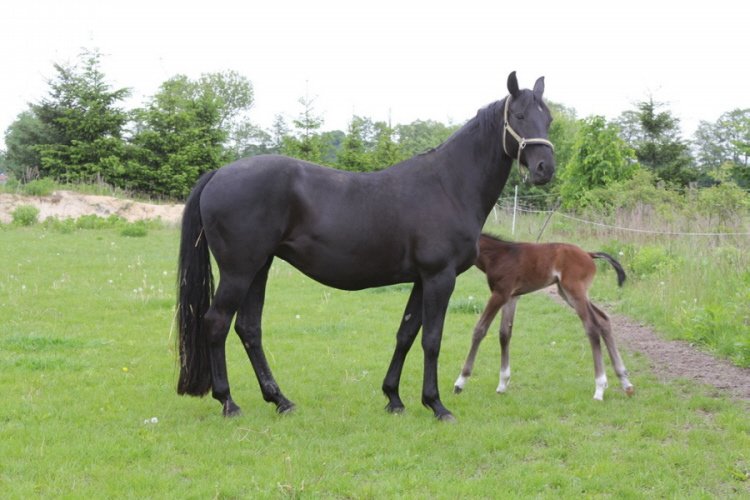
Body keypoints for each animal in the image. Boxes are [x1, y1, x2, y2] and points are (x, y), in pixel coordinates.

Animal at [176, 72, 556, 422]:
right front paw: (435, 404)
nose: (545, 169)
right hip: (239, 271)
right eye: (519, 115)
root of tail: (219, 174)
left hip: (259, 267)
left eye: (548, 118)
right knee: (217, 323)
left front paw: (394, 398)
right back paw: (228, 402)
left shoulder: (421, 280)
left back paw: (279, 399)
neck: (448, 185)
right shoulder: (439, 277)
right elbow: (431, 340)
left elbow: (406, 334)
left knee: (249, 328)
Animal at [453, 234, 634, 400]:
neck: (498, 256)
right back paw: (625, 382)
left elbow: (480, 330)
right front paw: (503, 383)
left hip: (575, 291)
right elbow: (504, 334)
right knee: (603, 320)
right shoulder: (511, 297)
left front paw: (460, 382)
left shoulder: (500, 294)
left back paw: (600, 387)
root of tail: (589, 254)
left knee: (592, 327)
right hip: (567, 293)